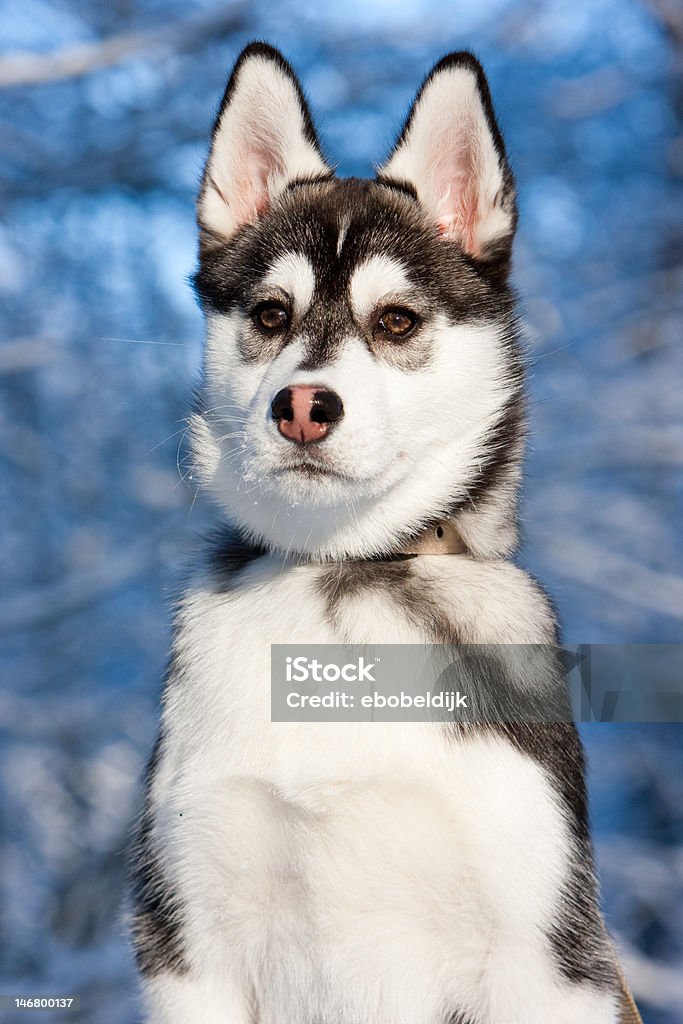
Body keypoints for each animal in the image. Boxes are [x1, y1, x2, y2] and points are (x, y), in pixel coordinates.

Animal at [129, 41, 634, 1024]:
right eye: (270, 316)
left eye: (394, 321)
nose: (300, 406)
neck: (340, 577)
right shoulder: (188, 944)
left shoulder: (550, 962)